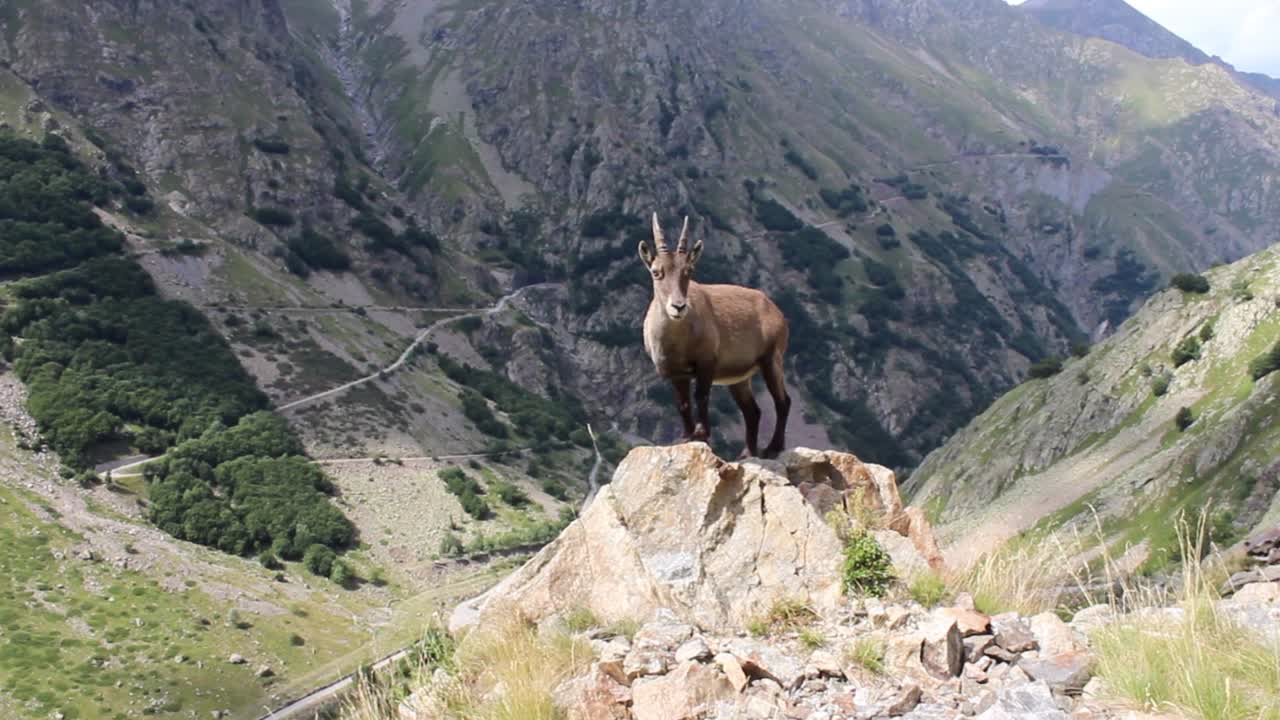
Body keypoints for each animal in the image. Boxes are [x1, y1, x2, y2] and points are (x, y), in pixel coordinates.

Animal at [638, 213, 792, 458]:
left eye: (689, 271)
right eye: (656, 272)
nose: (678, 306)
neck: (677, 342)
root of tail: (775, 310)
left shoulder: (707, 362)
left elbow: (701, 395)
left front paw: (701, 432)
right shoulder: (674, 372)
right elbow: (682, 403)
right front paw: (686, 436)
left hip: (772, 359)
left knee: (783, 401)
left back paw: (772, 448)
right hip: (739, 378)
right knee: (753, 411)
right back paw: (748, 452)